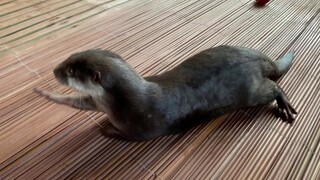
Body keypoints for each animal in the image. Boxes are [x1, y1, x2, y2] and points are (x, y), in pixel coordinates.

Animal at [34, 45, 298, 141]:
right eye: (69, 58)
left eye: (70, 71)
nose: (55, 70)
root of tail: (255, 56)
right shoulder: (99, 102)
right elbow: (79, 102)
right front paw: (44, 93)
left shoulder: (138, 130)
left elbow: (122, 135)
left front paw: (106, 129)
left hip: (251, 91)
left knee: (273, 87)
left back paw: (285, 104)